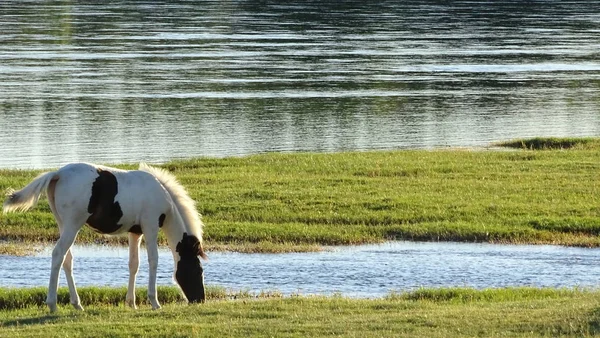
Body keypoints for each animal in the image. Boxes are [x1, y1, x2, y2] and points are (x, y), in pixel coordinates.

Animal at [2, 162, 209, 312]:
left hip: (64, 225)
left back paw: (77, 304)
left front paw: (131, 303)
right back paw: (52, 304)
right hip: (72, 225)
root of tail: (58, 174)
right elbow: (153, 261)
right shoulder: (150, 227)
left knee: (67, 259)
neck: (161, 195)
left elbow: (134, 264)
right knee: (58, 255)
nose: (200, 299)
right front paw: (154, 302)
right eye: (199, 270)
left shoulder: (135, 232)